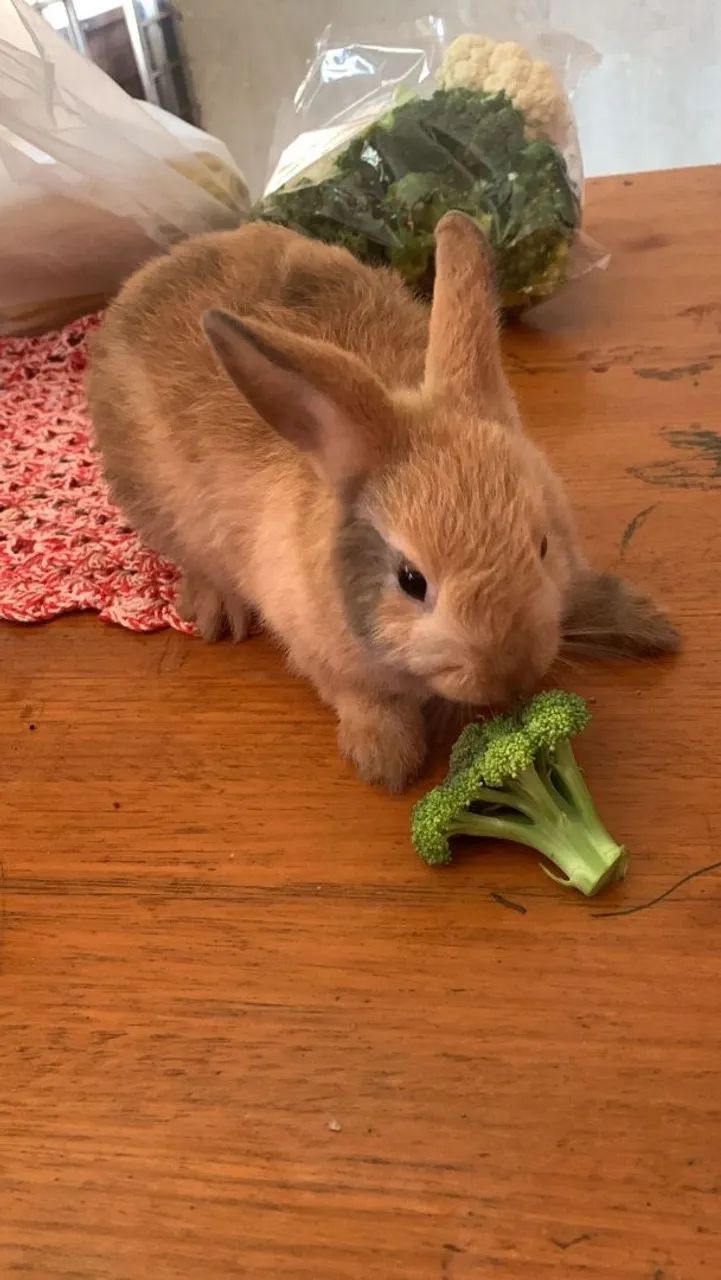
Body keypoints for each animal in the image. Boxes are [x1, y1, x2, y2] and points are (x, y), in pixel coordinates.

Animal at [88, 212, 679, 791]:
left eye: (541, 546)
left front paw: (648, 623)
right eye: (410, 581)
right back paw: (216, 610)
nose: (508, 673)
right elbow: (366, 701)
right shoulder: (326, 657)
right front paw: (387, 762)